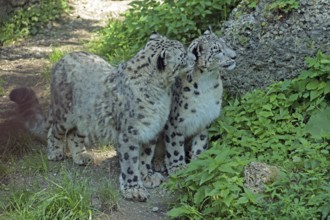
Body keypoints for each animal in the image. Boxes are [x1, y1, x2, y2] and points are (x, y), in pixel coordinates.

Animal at [9, 33, 196, 202]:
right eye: (182, 54)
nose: (194, 57)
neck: (162, 94)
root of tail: (63, 58)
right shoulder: (129, 134)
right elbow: (130, 163)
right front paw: (134, 189)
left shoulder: (151, 130)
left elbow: (145, 157)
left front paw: (147, 176)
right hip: (64, 114)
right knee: (55, 131)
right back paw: (55, 152)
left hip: (87, 119)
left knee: (74, 135)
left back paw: (81, 156)